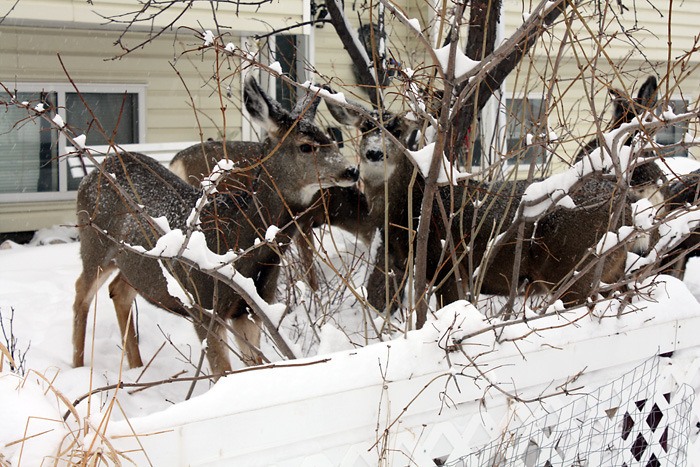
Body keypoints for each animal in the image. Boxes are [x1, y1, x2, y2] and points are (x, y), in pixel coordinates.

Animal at [73, 77, 360, 376]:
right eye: (306, 146)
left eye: (331, 140)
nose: (352, 171)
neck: (239, 241)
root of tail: (94, 172)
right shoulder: (203, 305)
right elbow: (222, 372)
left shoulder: (250, 309)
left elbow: (254, 366)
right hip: (94, 244)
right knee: (81, 292)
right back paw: (78, 365)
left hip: (135, 264)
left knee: (119, 291)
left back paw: (136, 367)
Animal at [326, 98, 640, 318]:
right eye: (365, 126)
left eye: (398, 131)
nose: (374, 153)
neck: (410, 214)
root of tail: (625, 208)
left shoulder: (450, 269)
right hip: (609, 270)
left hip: (575, 270)